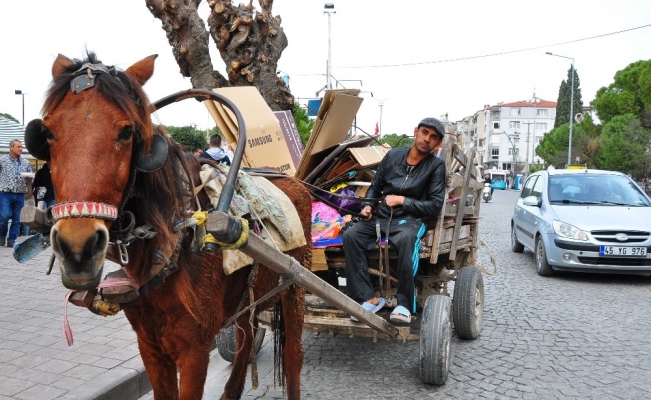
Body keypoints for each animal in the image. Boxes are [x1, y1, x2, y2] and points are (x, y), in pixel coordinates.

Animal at [25, 53, 310, 400]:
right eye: (48, 133)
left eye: (127, 132)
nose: (77, 248)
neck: (174, 244)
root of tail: (294, 180)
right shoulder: (150, 347)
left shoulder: (194, 352)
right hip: (248, 299)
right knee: (245, 339)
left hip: (295, 285)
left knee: (294, 354)